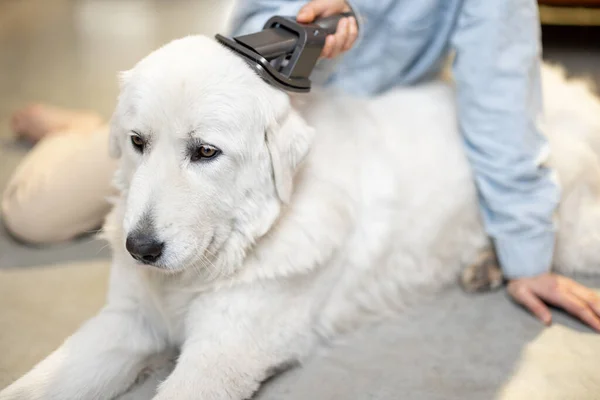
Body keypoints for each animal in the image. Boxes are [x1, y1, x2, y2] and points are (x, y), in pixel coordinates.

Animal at [3, 35, 600, 400]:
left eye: (205, 152)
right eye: (137, 142)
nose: (140, 249)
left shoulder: (220, 354)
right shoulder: (127, 323)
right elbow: (34, 386)